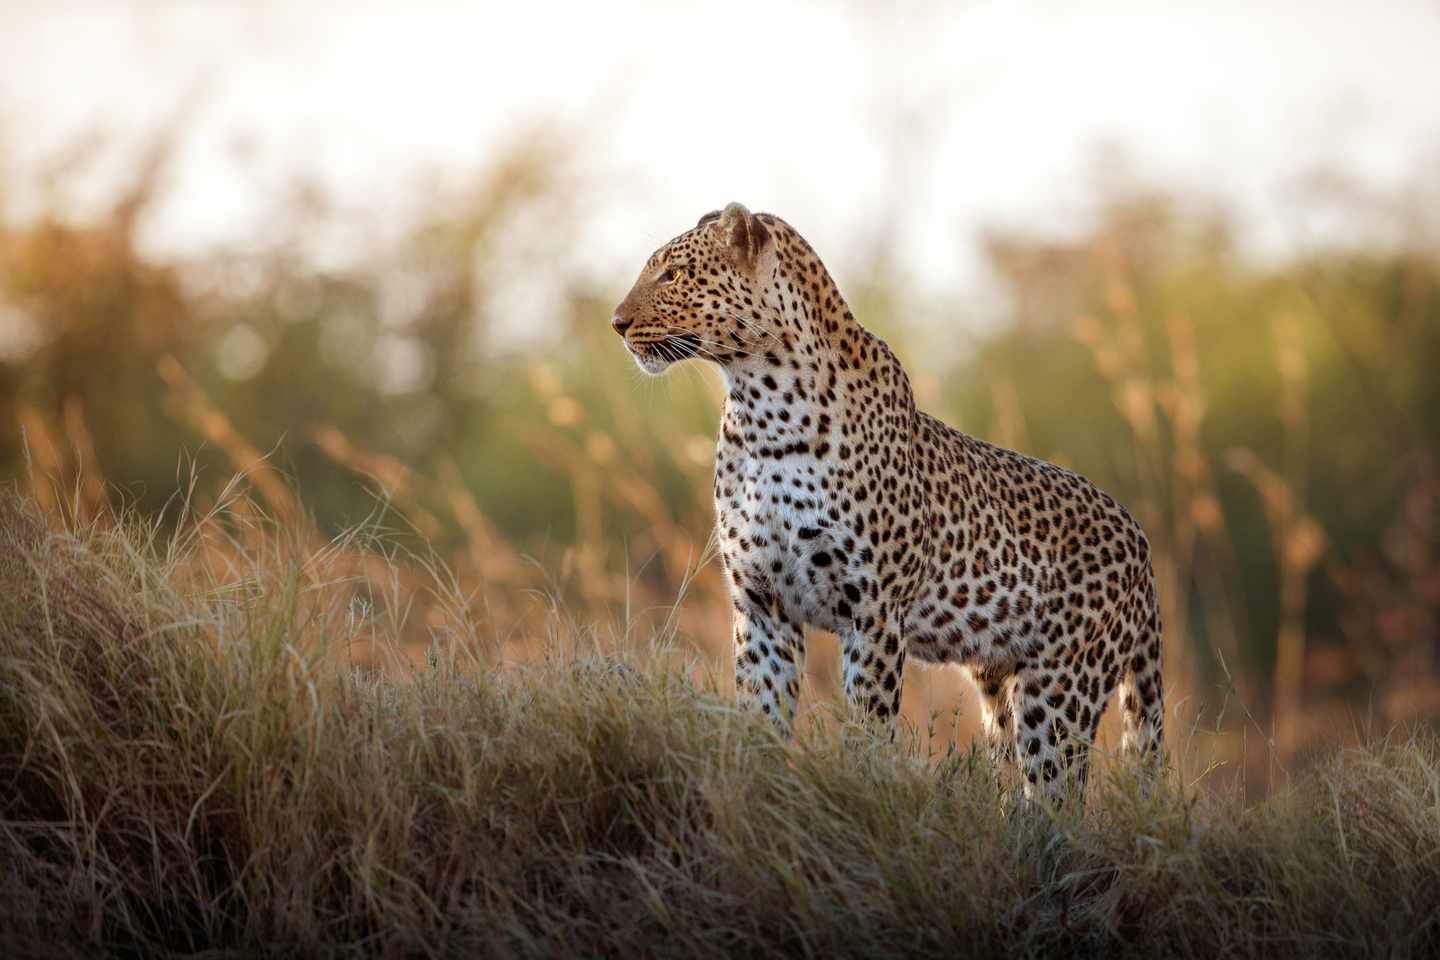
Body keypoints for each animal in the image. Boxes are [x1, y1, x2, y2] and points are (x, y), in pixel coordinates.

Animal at [611, 202, 1164, 798]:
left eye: (671, 275)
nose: (617, 323)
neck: (760, 406)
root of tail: (1140, 539)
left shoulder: (872, 611)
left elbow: (868, 727)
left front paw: (859, 788)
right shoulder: (762, 604)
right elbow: (761, 717)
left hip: (1062, 688)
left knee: (1057, 794)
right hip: (1000, 685)